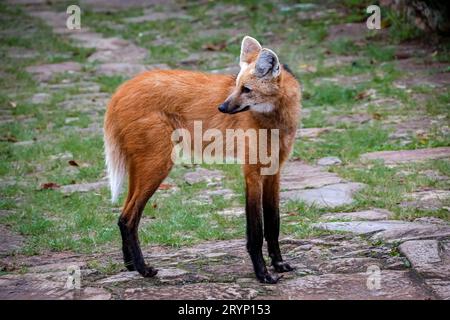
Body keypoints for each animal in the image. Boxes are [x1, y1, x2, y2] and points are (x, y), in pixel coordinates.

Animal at [104, 36, 302, 284]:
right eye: (236, 86)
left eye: (246, 89)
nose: (222, 107)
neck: (274, 120)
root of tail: (120, 90)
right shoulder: (252, 173)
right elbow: (256, 231)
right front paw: (263, 274)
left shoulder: (273, 171)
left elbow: (273, 224)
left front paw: (279, 264)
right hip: (159, 164)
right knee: (129, 218)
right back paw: (144, 269)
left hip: (142, 165)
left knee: (122, 216)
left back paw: (130, 265)